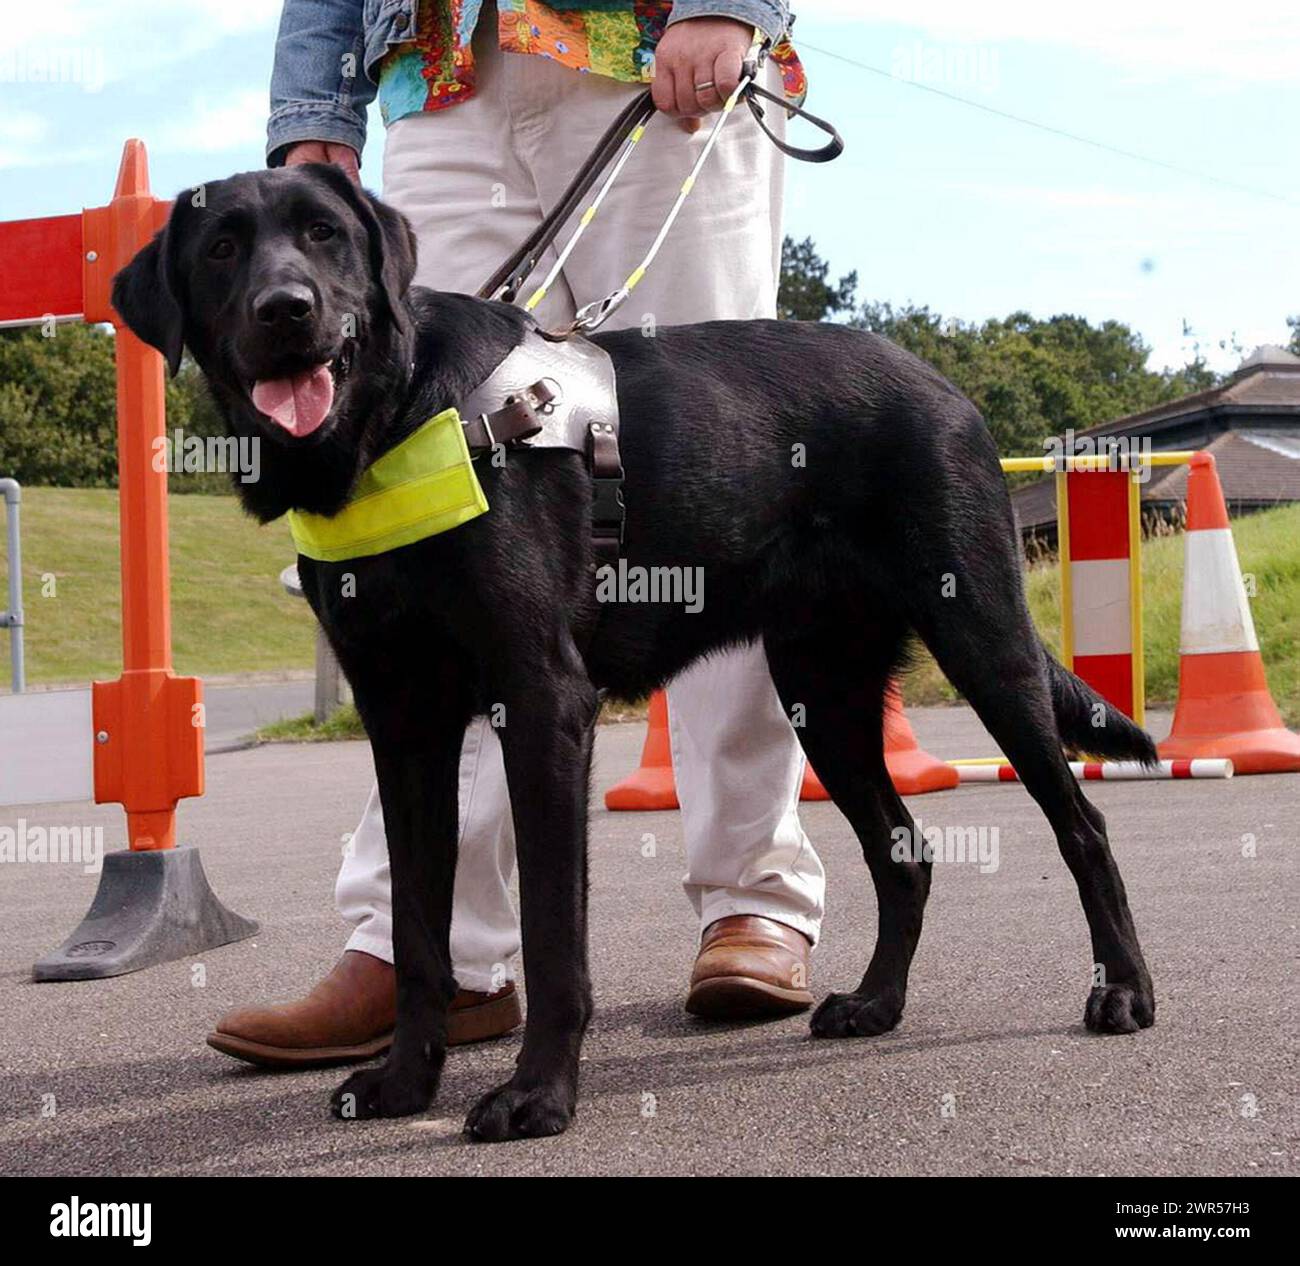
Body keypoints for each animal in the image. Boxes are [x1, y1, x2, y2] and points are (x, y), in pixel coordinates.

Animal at [106, 163, 1154, 1143]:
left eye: (324, 234)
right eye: (222, 249)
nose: (288, 310)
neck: (399, 418)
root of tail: (947, 387)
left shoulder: (542, 704)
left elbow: (550, 934)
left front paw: (537, 1096)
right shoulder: (403, 726)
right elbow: (415, 934)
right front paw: (406, 1082)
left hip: (983, 645)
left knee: (1084, 825)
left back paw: (1123, 992)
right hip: (825, 696)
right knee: (906, 855)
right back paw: (876, 1004)